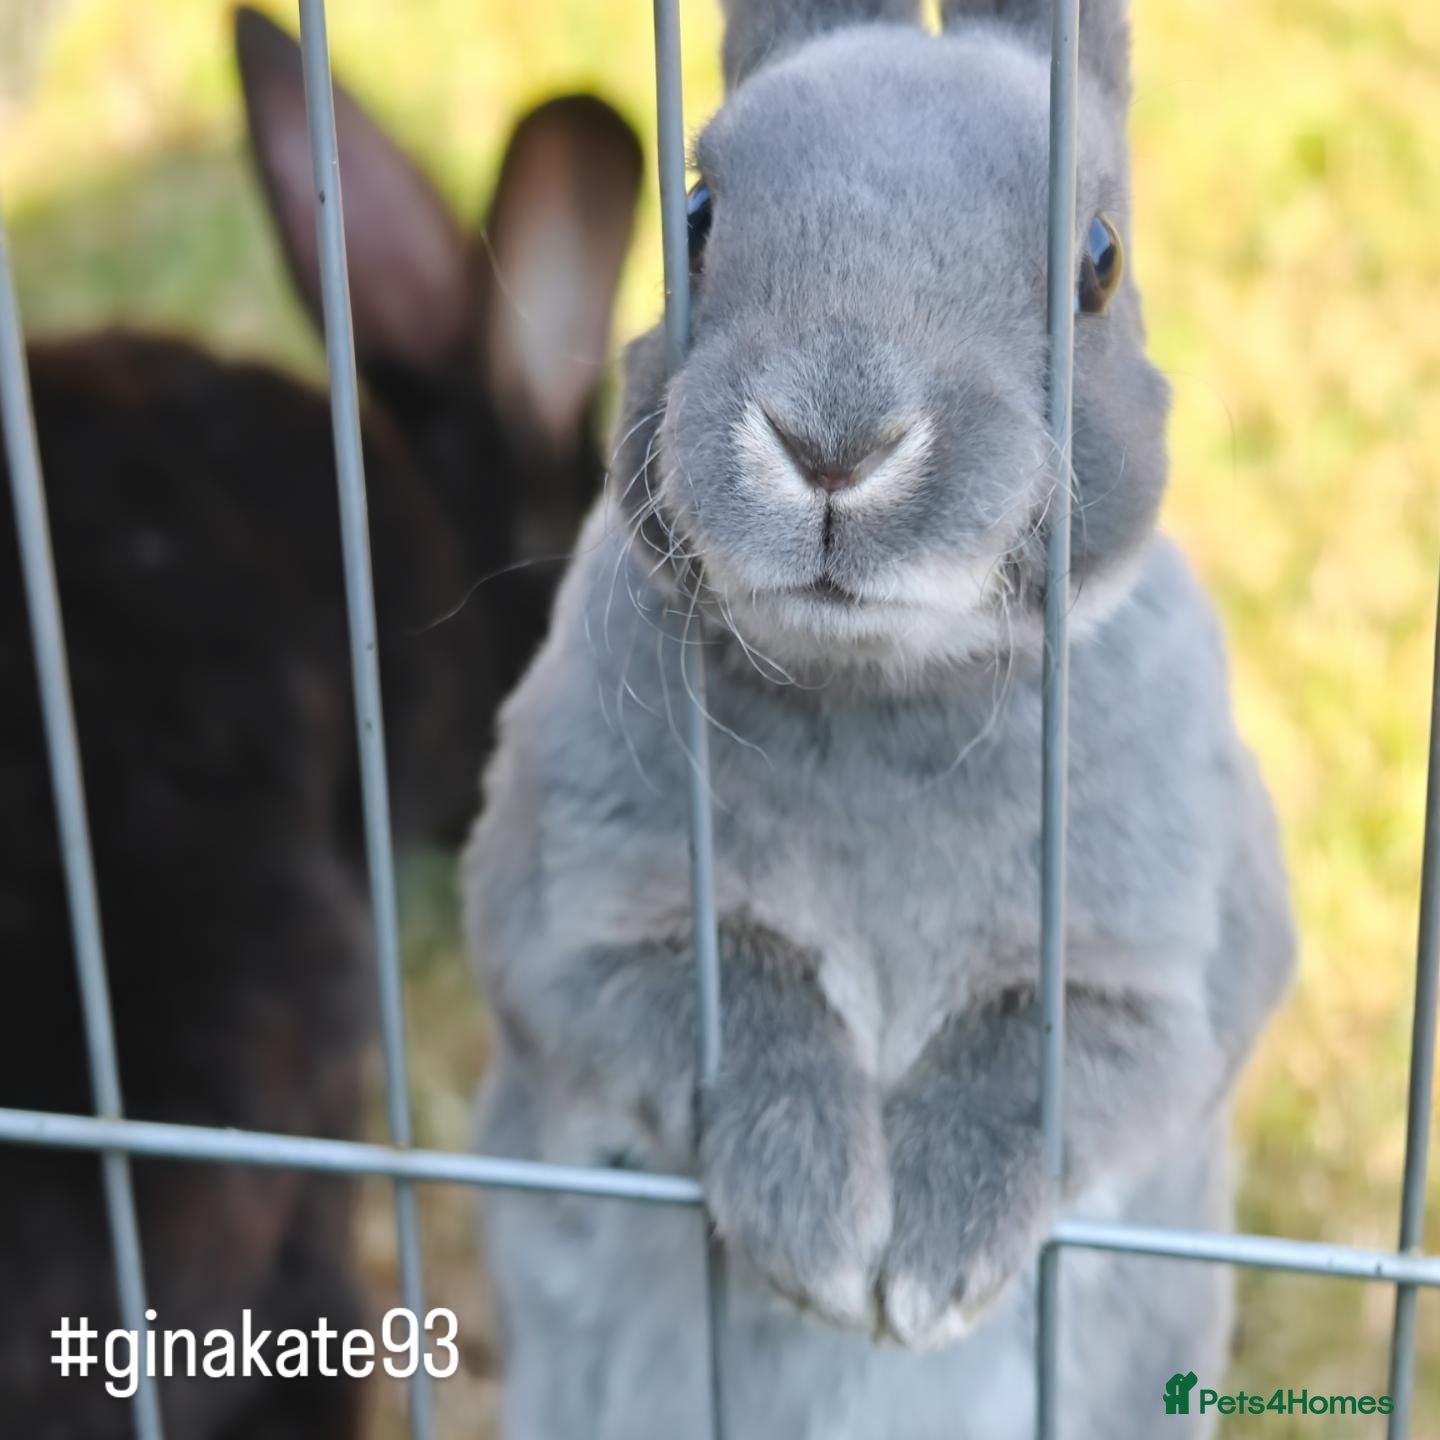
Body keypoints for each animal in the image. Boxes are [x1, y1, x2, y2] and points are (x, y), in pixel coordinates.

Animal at [464, 2, 1296, 1437]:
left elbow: (1042, 1060)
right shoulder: (568, 924)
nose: (833, 440)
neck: (883, 682)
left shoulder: (1171, 985)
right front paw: (828, 1233)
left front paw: (925, 1266)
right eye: (696, 214)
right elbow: (742, 997)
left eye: (1099, 262)